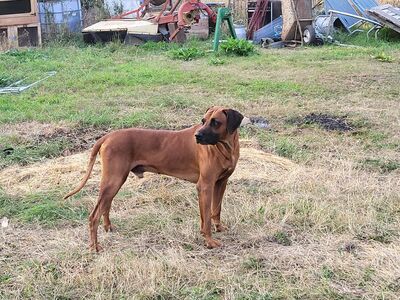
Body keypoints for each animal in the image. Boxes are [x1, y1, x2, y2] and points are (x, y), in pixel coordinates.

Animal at [64, 105, 244, 251]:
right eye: (203, 121)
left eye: (215, 122)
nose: (197, 136)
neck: (225, 147)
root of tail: (107, 136)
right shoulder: (205, 186)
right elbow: (205, 218)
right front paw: (209, 241)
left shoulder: (221, 183)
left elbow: (216, 210)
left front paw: (219, 228)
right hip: (113, 180)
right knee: (94, 216)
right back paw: (95, 247)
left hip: (114, 181)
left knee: (105, 206)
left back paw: (108, 228)